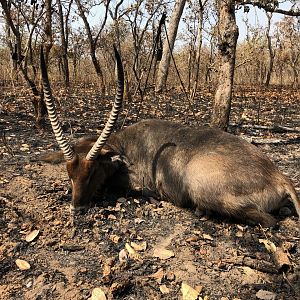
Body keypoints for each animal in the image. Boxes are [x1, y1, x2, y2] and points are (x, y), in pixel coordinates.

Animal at [40, 47, 300, 226]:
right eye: (69, 174)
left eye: (93, 172)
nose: (77, 209)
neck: (123, 145)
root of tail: (279, 176)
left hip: (197, 182)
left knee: (270, 221)